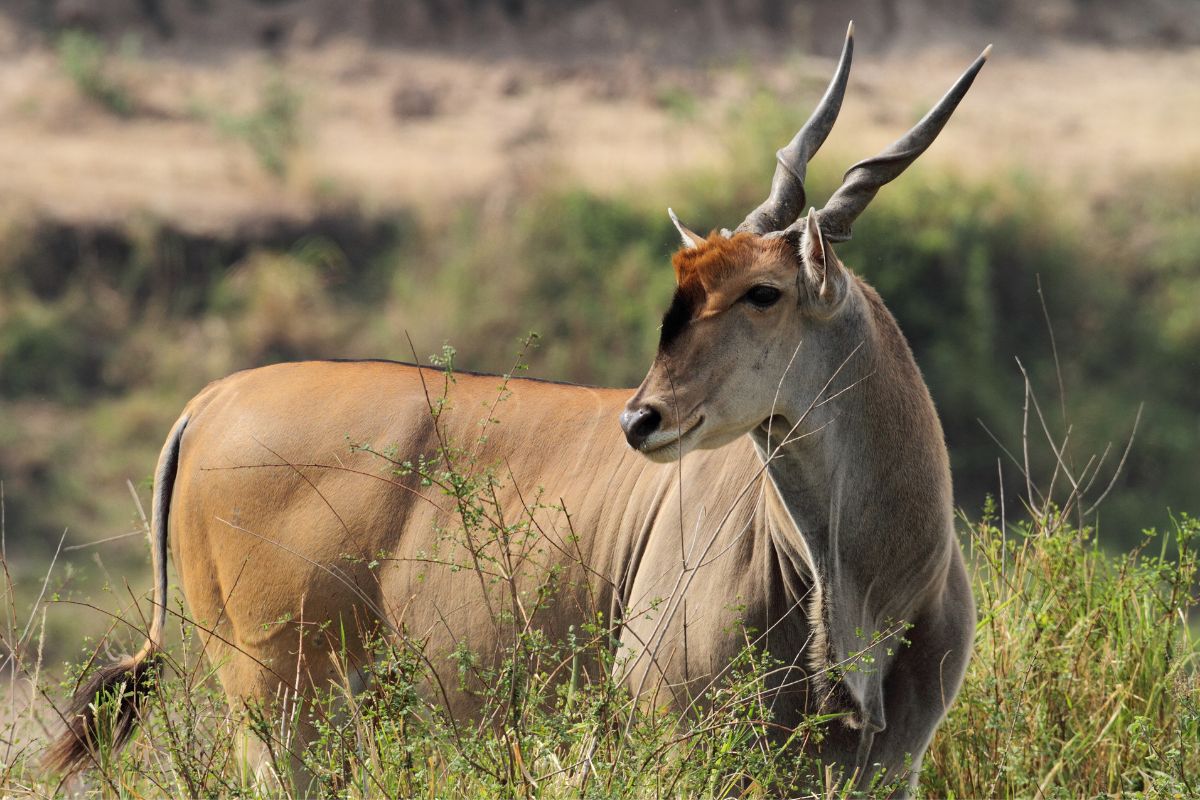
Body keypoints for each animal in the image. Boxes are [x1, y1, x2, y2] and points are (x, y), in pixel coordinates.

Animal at [47, 25, 986, 795]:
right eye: (683, 294)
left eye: (764, 292)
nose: (640, 420)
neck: (861, 592)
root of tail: (210, 399)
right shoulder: (681, 746)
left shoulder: (885, 770)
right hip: (277, 709)